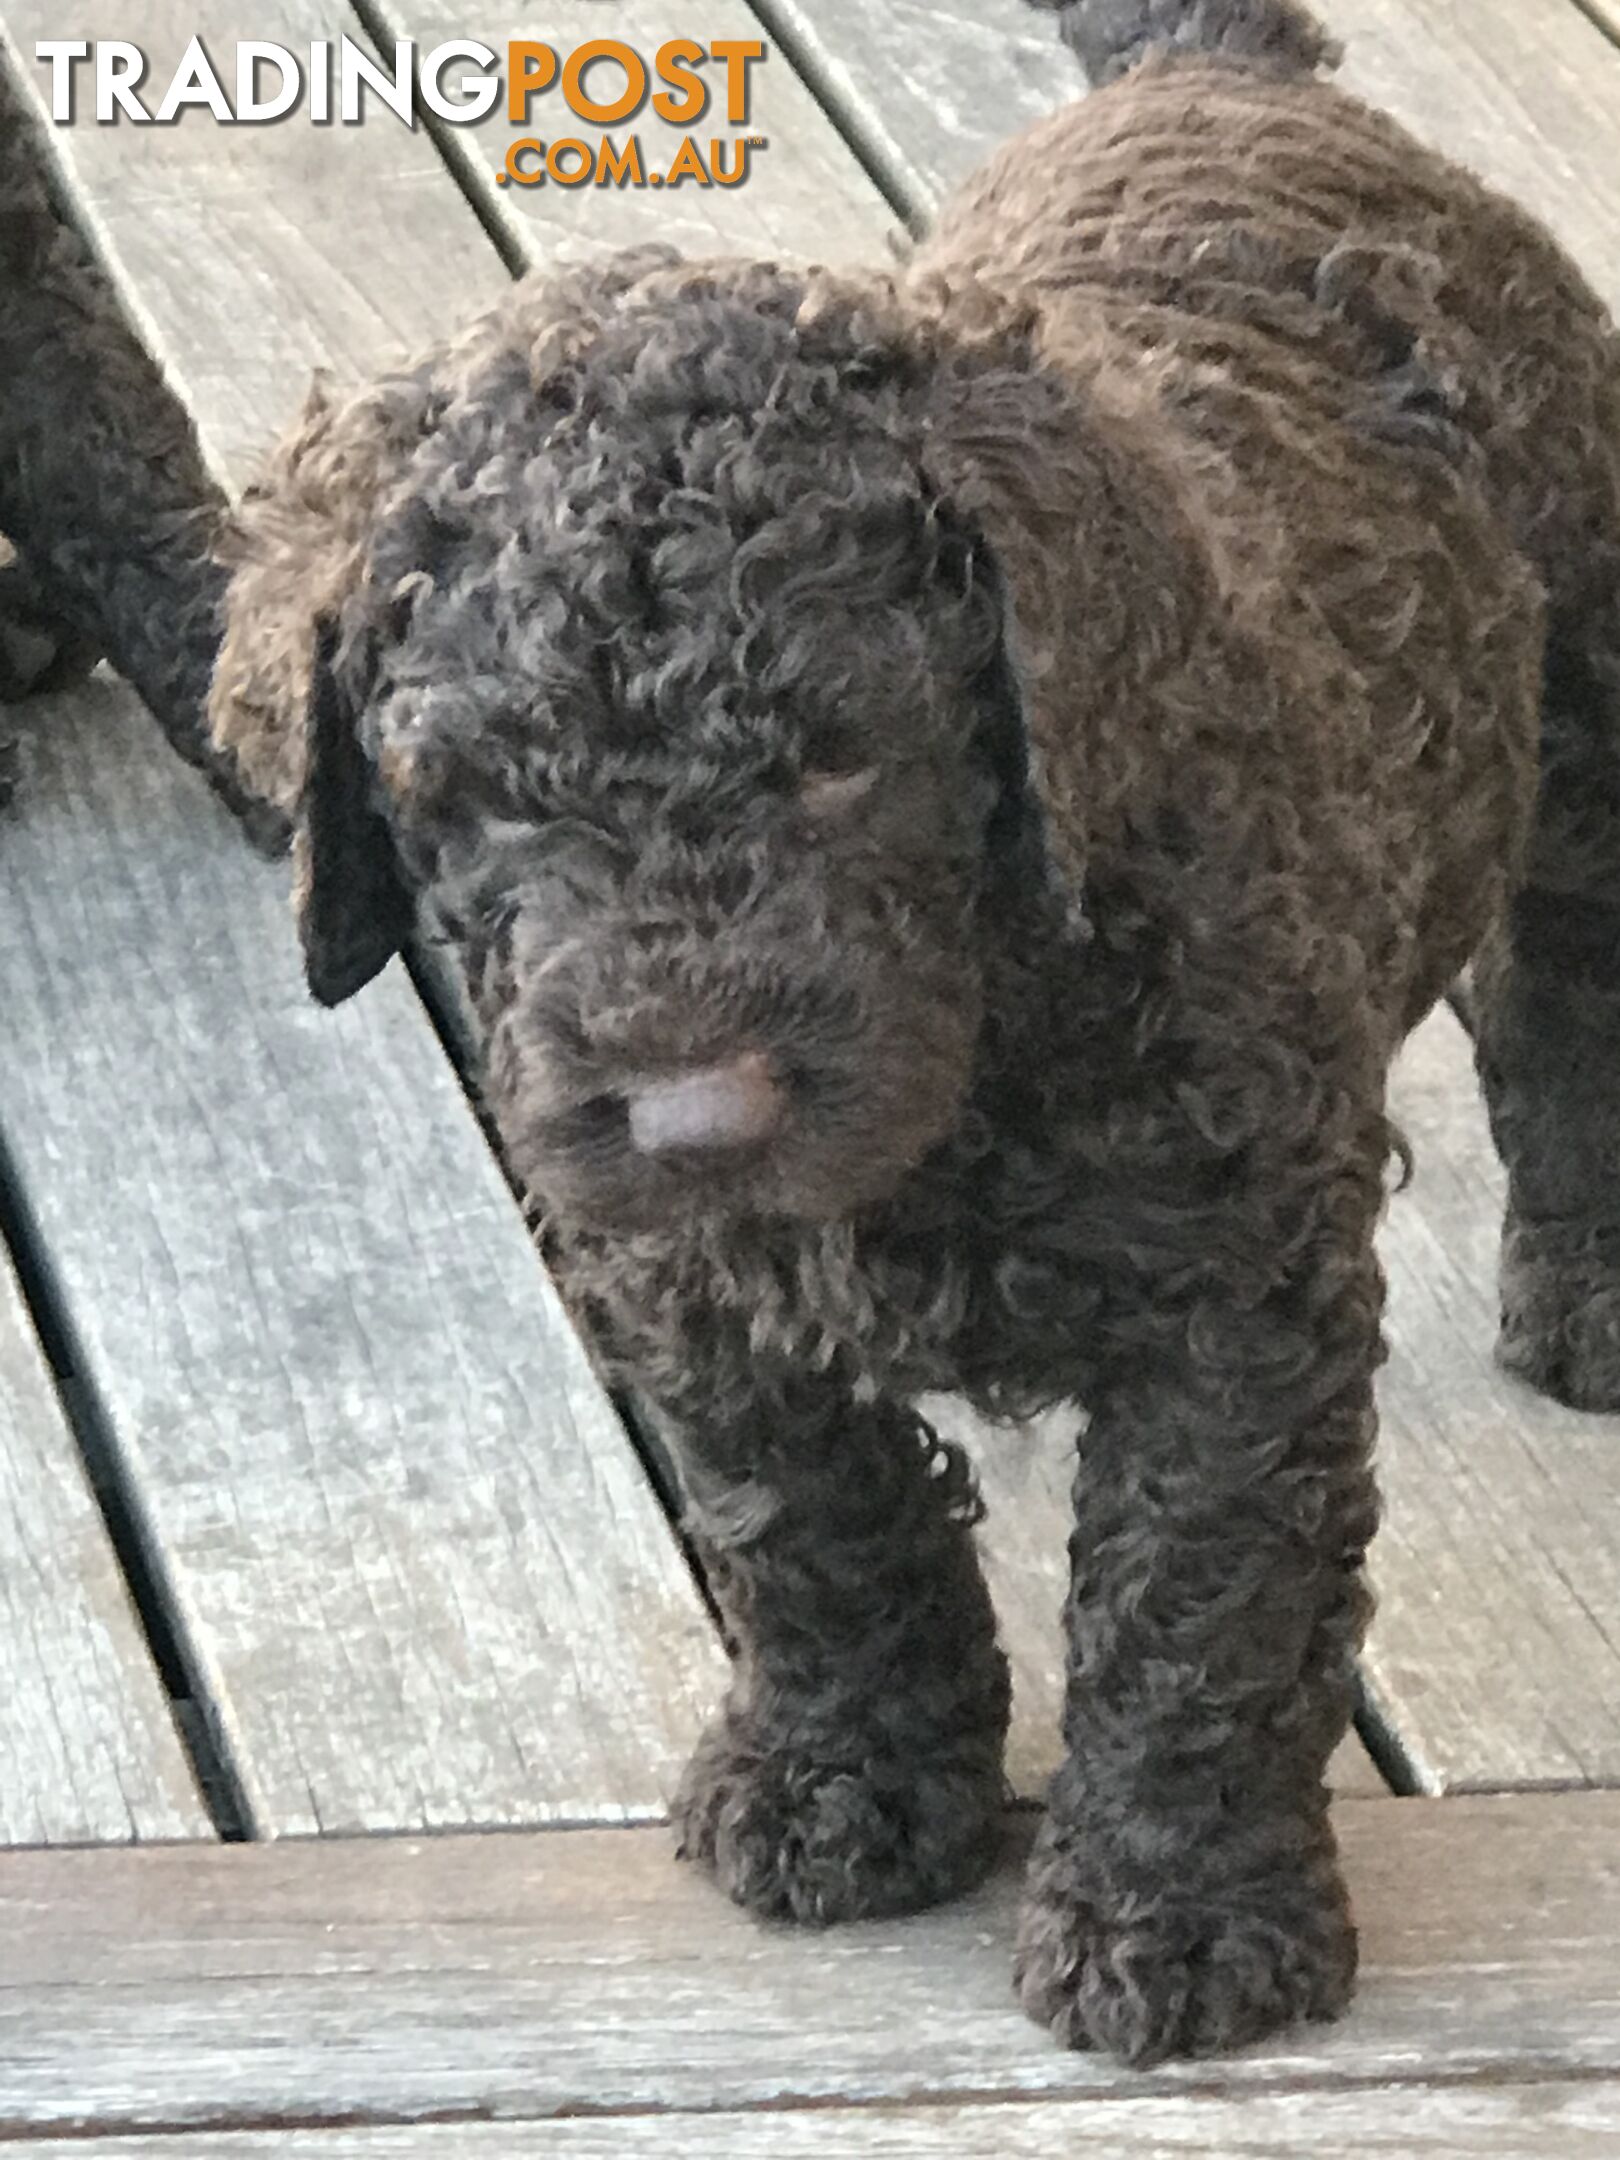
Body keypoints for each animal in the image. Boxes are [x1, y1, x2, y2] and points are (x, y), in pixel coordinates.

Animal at [209, 0, 1620, 2064]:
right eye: (474, 795)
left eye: (845, 757)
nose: (695, 1112)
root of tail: (1222, 71)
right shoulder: (686, 1278)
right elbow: (811, 1517)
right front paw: (846, 1778)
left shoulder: (1237, 1282)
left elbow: (1198, 1597)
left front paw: (1180, 1917)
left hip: (1595, 704)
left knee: (1573, 988)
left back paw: (1591, 1293)